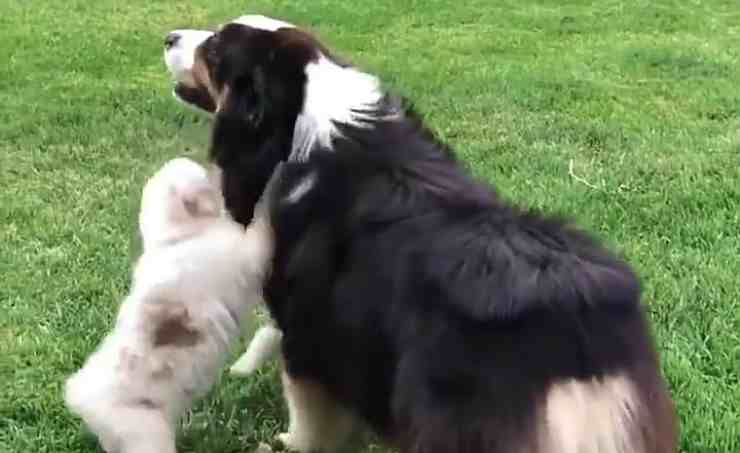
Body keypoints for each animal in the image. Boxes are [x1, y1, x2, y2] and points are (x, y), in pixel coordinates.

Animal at [166, 14, 676, 452]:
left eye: (214, 49)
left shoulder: (308, 322)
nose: (169, 37)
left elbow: (307, 407)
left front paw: (289, 441)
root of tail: (578, 345)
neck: (300, 119)